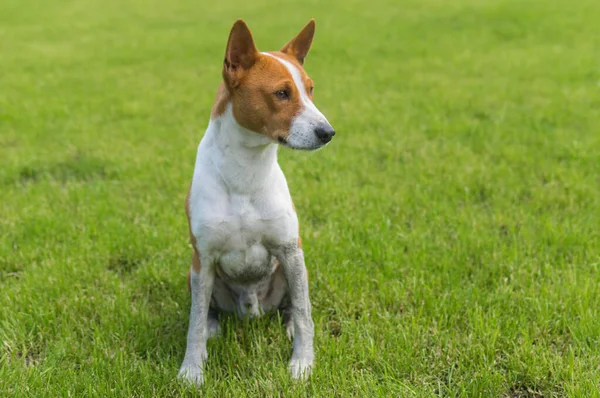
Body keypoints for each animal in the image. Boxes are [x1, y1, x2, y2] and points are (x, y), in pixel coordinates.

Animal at [180, 19, 336, 386]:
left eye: (310, 90)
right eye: (281, 93)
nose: (328, 132)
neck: (246, 173)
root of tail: (251, 310)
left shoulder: (291, 250)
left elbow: (305, 313)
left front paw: (303, 363)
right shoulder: (203, 258)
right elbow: (194, 322)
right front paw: (191, 369)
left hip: (294, 270)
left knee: (294, 306)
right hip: (196, 274)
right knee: (206, 310)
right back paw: (213, 326)